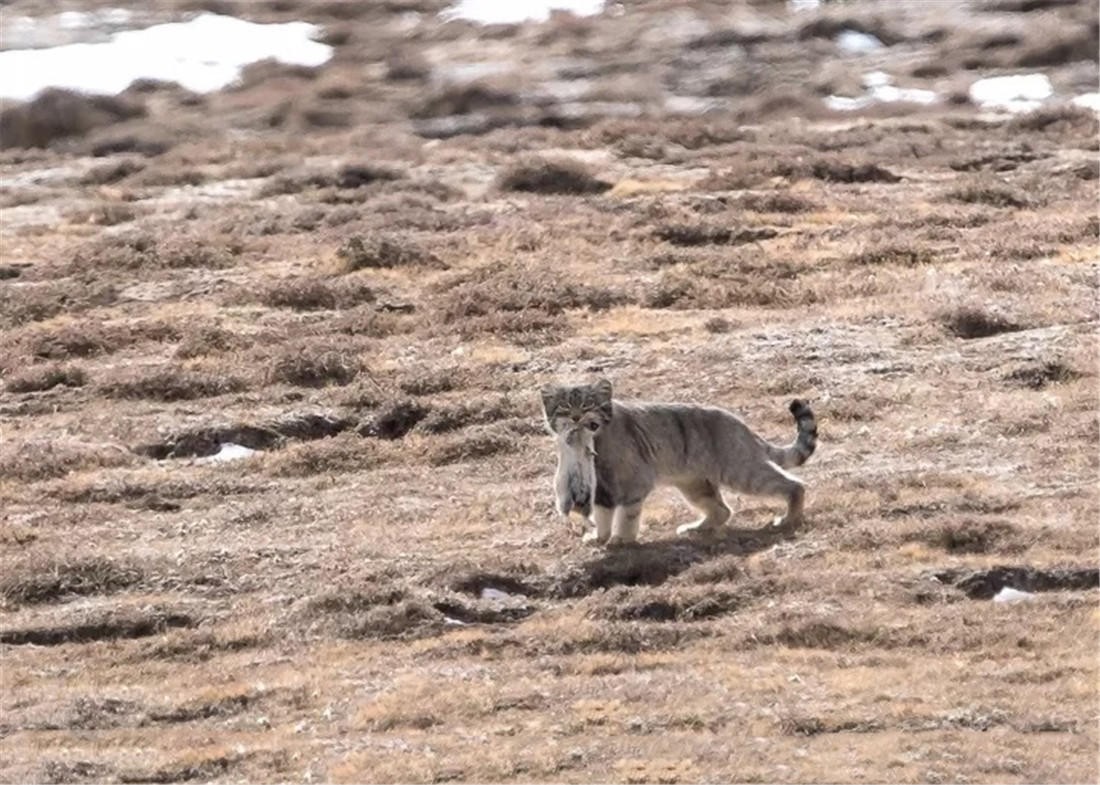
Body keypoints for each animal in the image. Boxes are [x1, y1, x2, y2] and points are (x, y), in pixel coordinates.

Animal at [541, 378, 818, 545]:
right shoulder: (602, 488)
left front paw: (622, 539)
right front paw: (601, 538)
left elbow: (625, 515)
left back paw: (789, 519)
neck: (596, 440)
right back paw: (697, 528)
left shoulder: (632, 483)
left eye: (587, 405)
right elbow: (602, 513)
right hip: (695, 485)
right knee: (722, 510)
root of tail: (743, 426)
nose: (576, 418)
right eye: (565, 407)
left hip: (743, 471)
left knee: (795, 485)